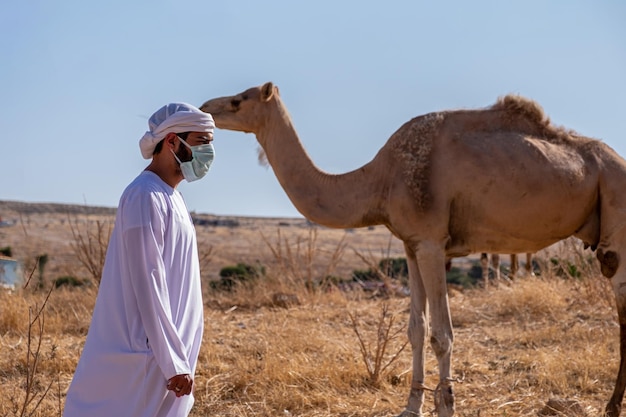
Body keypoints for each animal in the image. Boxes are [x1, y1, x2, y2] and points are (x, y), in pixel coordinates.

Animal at [199, 82, 624, 416]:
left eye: (238, 100)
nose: (205, 108)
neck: (379, 179)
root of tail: (617, 161)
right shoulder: (410, 244)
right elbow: (416, 329)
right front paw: (411, 406)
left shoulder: (433, 243)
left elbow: (442, 333)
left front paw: (446, 405)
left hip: (616, 215)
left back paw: (611, 405)